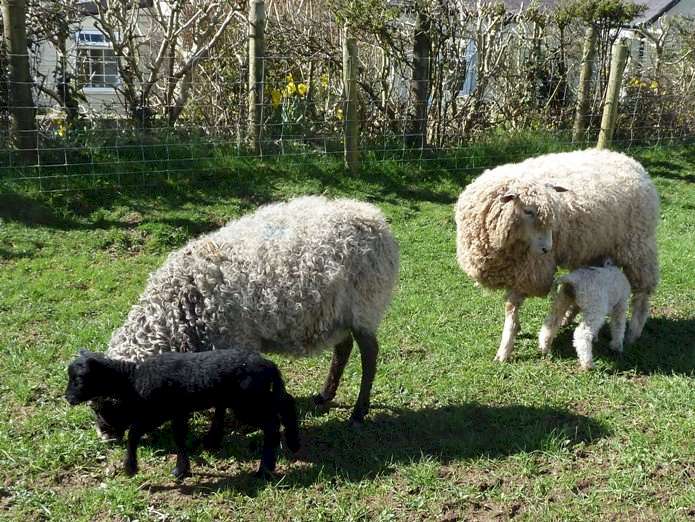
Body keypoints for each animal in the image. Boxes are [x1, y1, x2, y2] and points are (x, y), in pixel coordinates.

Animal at [66, 348, 300, 479]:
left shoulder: (156, 413)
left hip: (247, 402)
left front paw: (130, 468)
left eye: (79, 379)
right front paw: (182, 470)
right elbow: (179, 438)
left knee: (272, 425)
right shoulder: (177, 412)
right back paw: (293, 443)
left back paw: (265, 470)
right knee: (286, 403)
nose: (67, 398)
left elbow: (133, 434)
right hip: (257, 396)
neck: (132, 379)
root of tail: (269, 365)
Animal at [97, 196, 399, 432]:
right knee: (343, 349)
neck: (184, 309)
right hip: (335, 312)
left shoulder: (236, 339)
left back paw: (358, 413)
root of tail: (374, 218)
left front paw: (239, 422)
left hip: (364, 306)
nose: (105, 435)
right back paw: (325, 396)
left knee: (369, 355)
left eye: (112, 401)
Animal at [454, 149, 659, 362]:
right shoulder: (515, 269)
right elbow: (511, 307)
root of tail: (632, 162)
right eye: (527, 211)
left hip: (638, 246)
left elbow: (511, 307)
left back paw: (632, 333)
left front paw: (505, 347)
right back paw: (568, 317)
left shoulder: (530, 271)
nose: (547, 248)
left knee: (642, 293)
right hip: (593, 249)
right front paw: (511, 338)